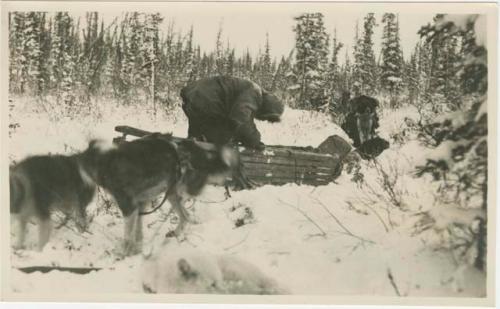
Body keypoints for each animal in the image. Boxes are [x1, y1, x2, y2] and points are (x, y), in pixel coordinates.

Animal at [79, 134, 241, 256]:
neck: (107, 161)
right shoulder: (140, 205)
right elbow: (138, 232)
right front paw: (136, 250)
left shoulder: (128, 207)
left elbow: (128, 235)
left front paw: (124, 253)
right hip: (172, 193)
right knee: (185, 214)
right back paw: (178, 230)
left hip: (181, 189)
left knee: (188, 210)